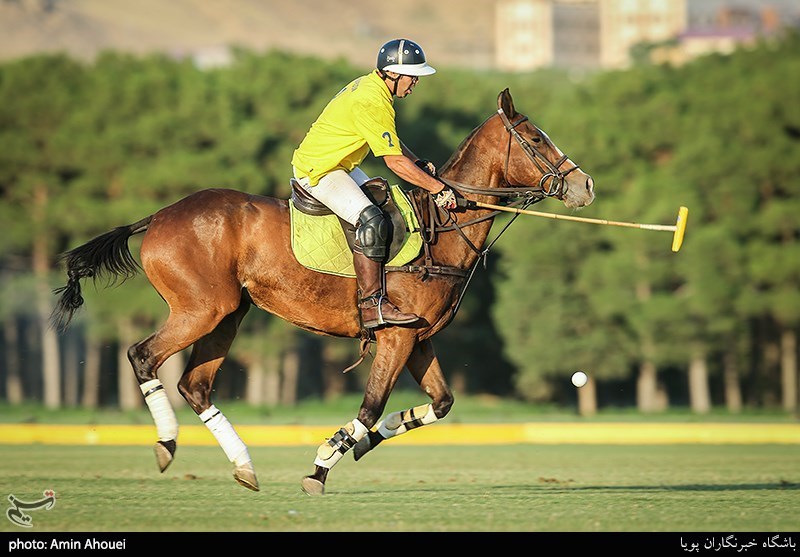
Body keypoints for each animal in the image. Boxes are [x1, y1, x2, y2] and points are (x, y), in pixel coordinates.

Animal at [51, 89, 592, 498]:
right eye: (537, 138)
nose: (585, 185)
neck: (442, 227)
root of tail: (158, 216)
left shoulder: (419, 339)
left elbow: (441, 402)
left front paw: (363, 444)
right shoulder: (395, 336)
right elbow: (369, 406)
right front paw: (323, 463)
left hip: (229, 313)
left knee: (195, 385)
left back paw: (245, 466)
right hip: (201, 308)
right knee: (143, 356)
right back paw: (167, 445)